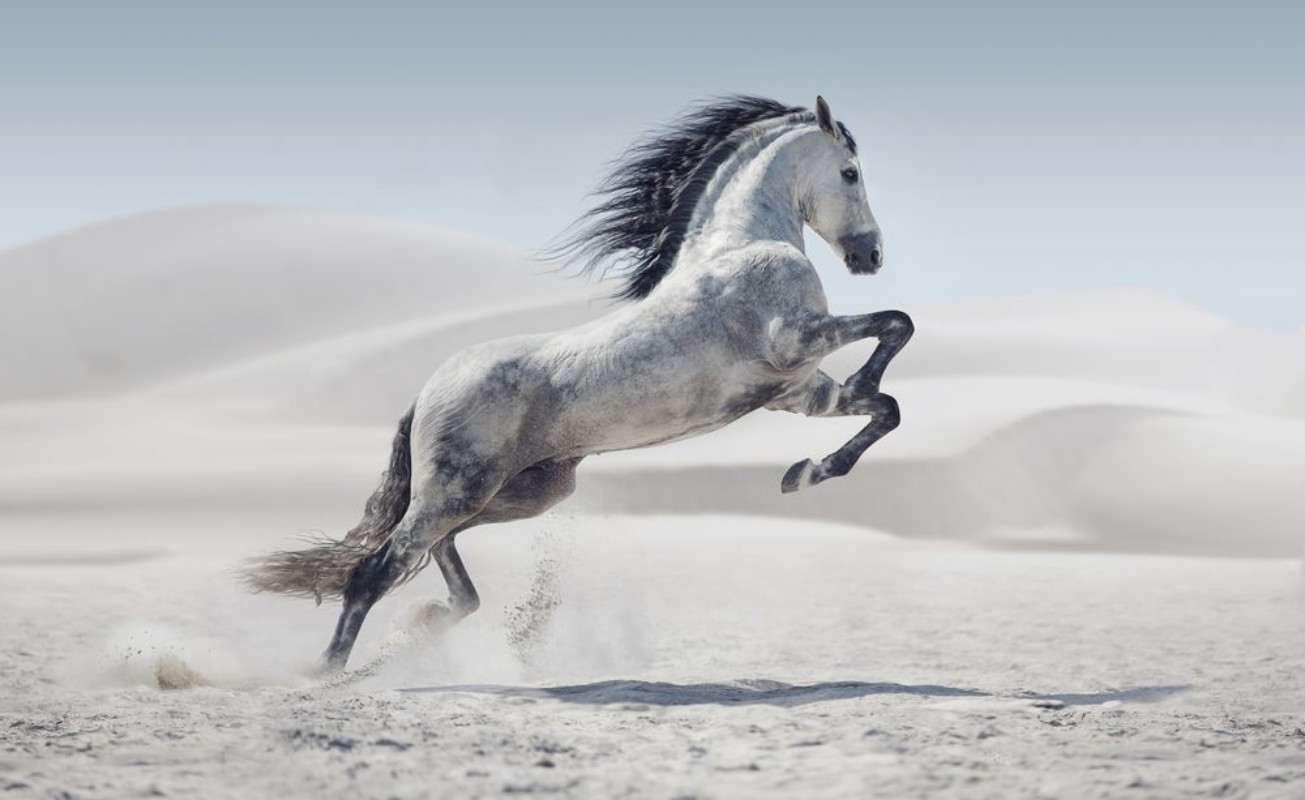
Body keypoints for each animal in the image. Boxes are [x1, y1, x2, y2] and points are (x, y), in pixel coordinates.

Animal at [243, 95, 914, 673]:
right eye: (851, 172)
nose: (872, 256)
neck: (741, 245)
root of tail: (428, 390)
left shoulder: (797, 392)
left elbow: (885, 407)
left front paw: (805, 473)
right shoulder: (794, 341)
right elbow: (896, 324)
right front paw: (825, 440)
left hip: (520, 493)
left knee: (437, 554)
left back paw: (427, 621)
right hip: (459, 490)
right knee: (377, 569)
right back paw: (327, 672)